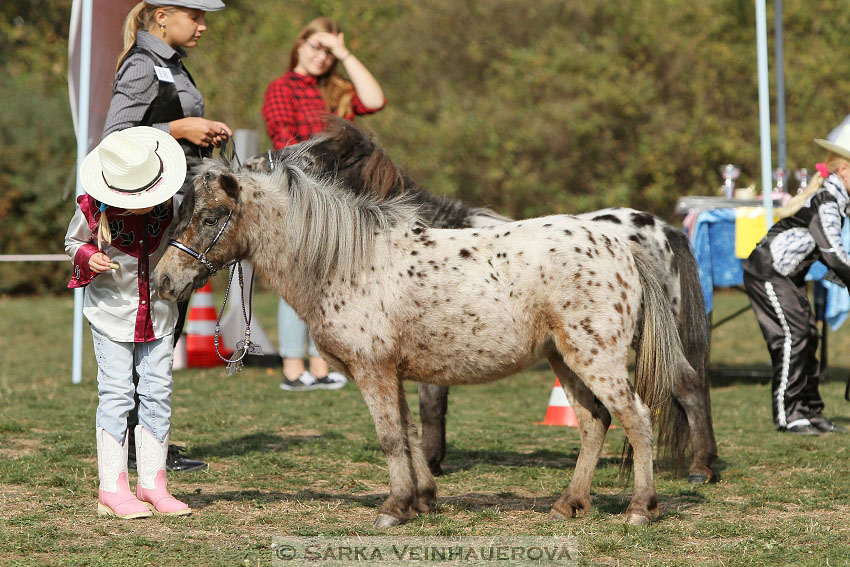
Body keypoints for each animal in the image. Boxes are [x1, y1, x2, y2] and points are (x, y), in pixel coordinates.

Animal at [156, 156, 700, 528]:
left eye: (210, 217)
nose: (163, 280)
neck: (346, 262)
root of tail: (621, 246)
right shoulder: (392, 372)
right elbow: (410, 433)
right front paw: (422, 499)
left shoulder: (373, 369)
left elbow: (390, 436)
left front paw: (394, 508)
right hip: (565, 360)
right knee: (593, 423)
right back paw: (569, 504)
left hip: (596, 358)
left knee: (637, 419)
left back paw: (640, 509)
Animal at [247, 118, 716, 484]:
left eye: (320, 153)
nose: (256, 163)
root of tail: (662, 230)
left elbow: (431, 404)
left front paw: (430, 463)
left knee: (687, 383)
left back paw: (701, 468)